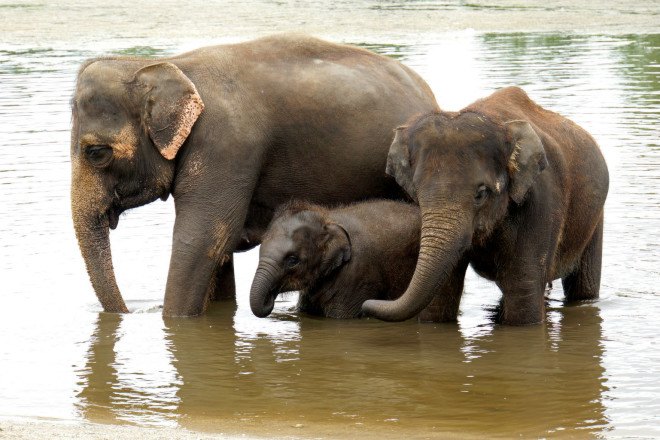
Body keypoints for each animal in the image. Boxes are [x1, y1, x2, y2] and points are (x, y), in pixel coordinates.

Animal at [362, 87, 609, 325]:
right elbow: (441, 296)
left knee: (582, 286)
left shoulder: (542, 201)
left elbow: (523, 292)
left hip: (595, 218)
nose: (366, 305)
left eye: (480, 194)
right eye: (417, 193)